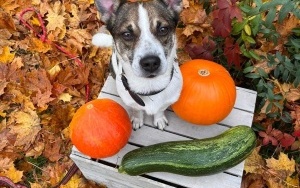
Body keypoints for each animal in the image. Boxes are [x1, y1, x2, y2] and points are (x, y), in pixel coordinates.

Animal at [94, 0, 183, 129]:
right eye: (126, 34)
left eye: (163, 29)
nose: (150, 62)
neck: (150, 85)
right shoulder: (131, 101)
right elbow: (137, 110)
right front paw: (137, 119)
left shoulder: (167, 101)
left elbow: (160, 110)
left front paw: (159, 119)